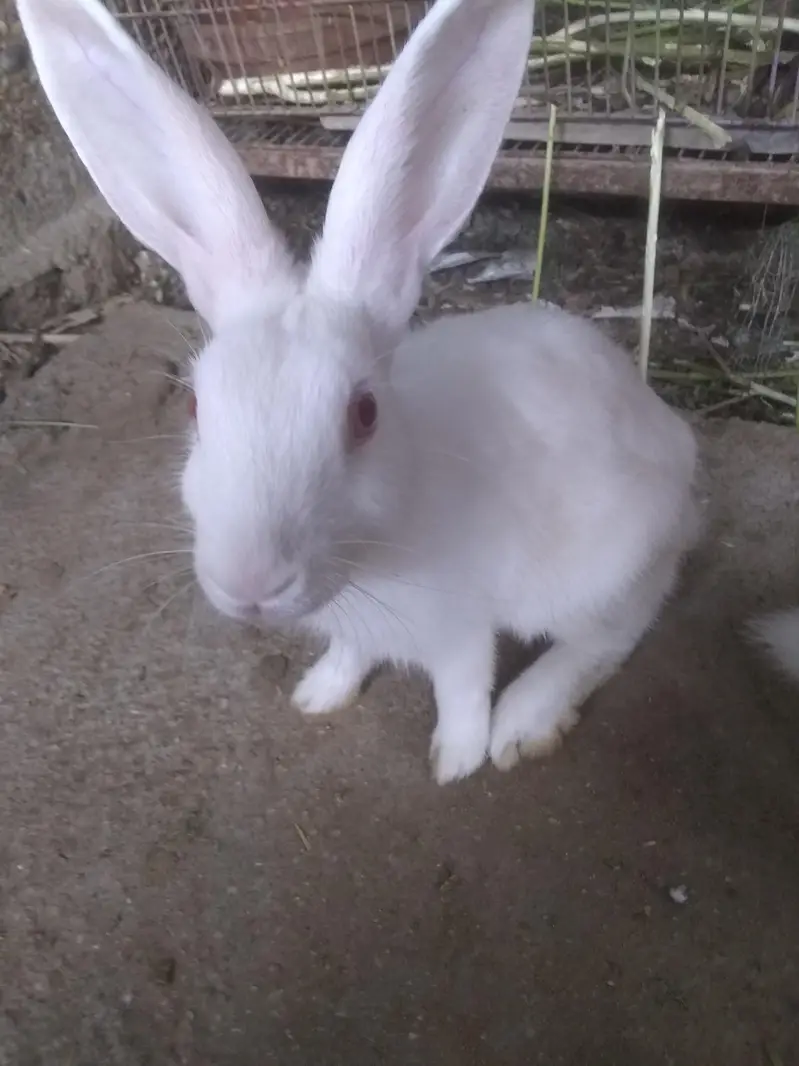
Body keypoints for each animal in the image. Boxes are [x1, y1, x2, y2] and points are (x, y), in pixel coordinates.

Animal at [21, 0, 700, 784]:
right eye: (194, 406)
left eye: (364, 413)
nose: (252, 584)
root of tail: (676, 446)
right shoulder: (353, 627)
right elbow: (349, 655)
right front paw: (318, 696)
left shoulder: (459, 627)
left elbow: (462, 686)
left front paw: (454, 762)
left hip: (598, 569)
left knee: (619, 627)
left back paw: (523, 722)